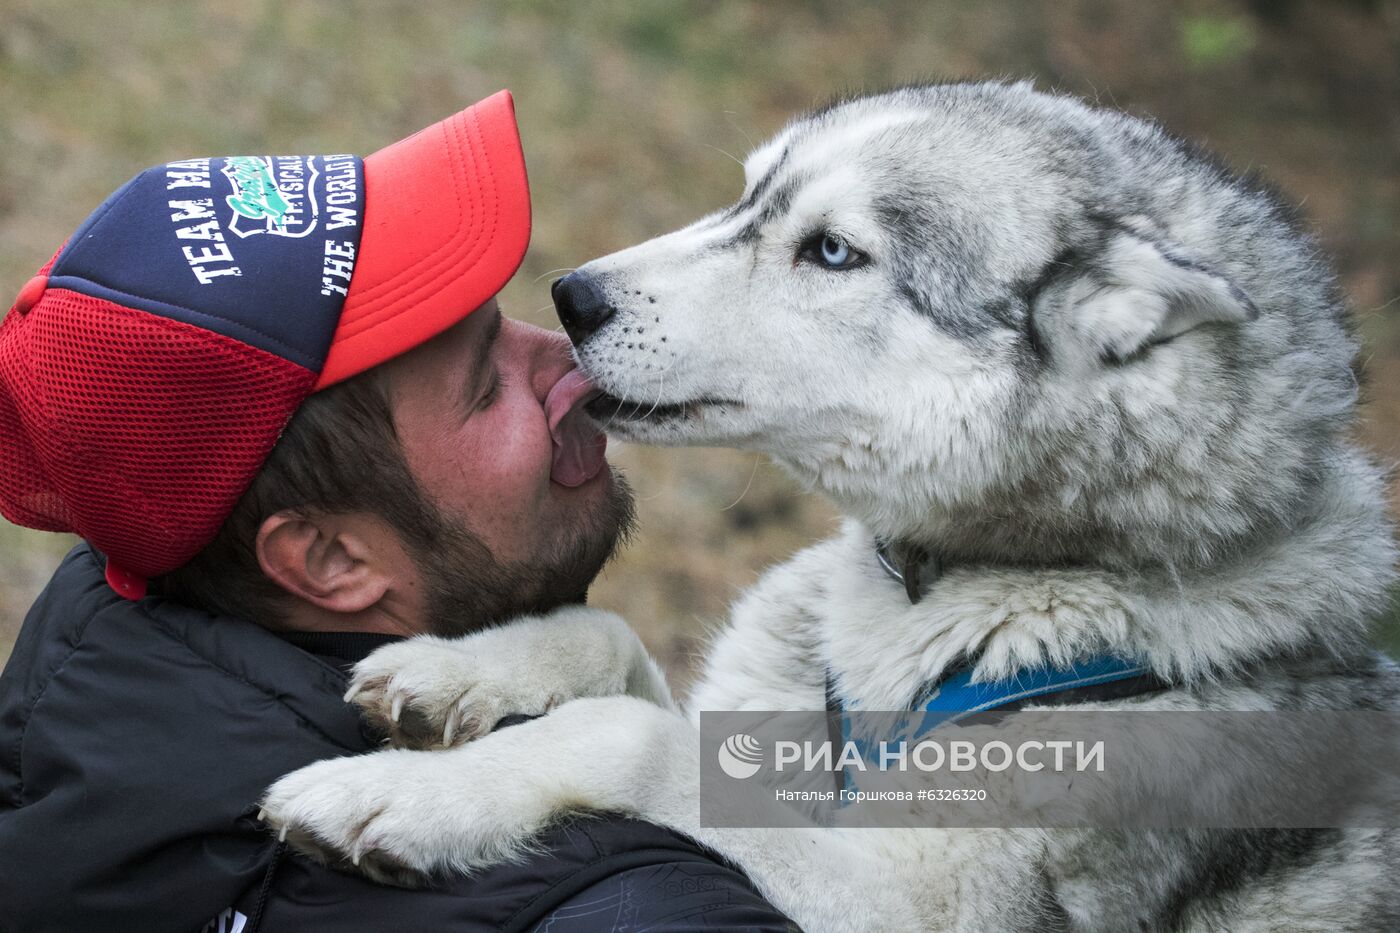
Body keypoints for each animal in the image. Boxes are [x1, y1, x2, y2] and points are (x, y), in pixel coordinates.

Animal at [263, 83, 1400, 924]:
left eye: (832, 251)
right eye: (747, 196)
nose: (570, 296)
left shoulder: (905, 904)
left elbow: (629, 735)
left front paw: (405, 796)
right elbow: (605, 634)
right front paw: (453, 670)